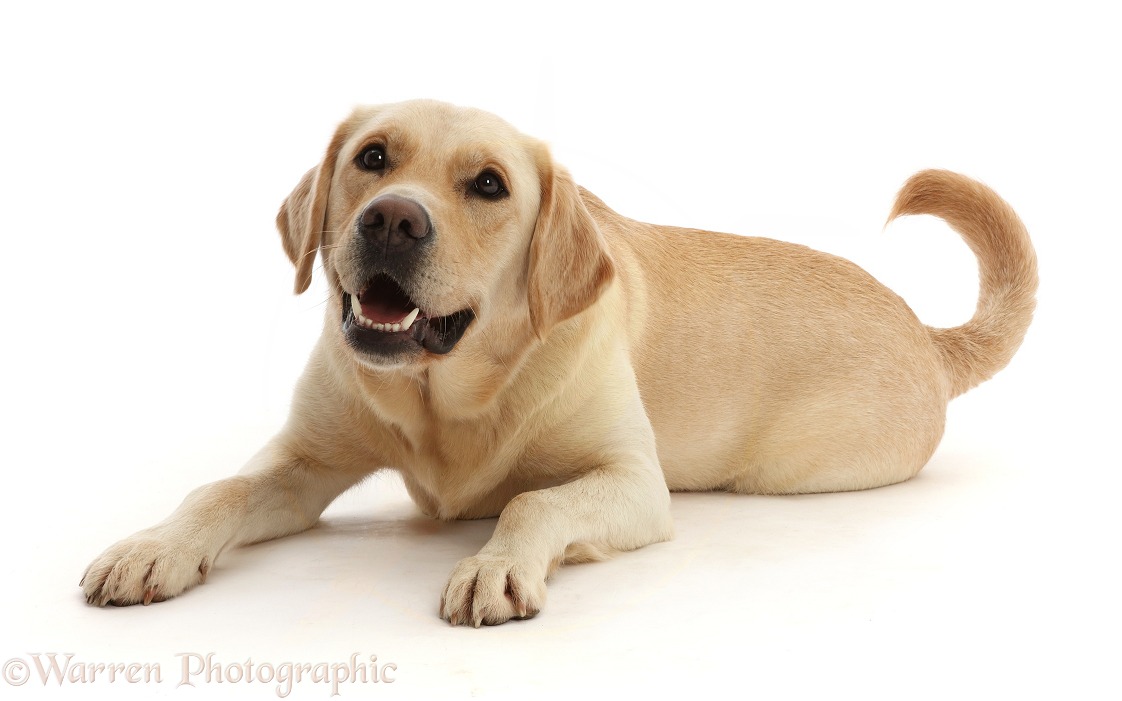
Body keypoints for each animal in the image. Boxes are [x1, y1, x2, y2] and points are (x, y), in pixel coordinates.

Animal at [83, 97, 1036, 623]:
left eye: (489, 185)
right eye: (372, 157)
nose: (392, 219)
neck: (445, 395)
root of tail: (926, 331)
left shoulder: (632, 482)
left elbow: (534, 499)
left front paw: (494, 563)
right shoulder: (304, 459)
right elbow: (219, 489)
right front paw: (153, 547)